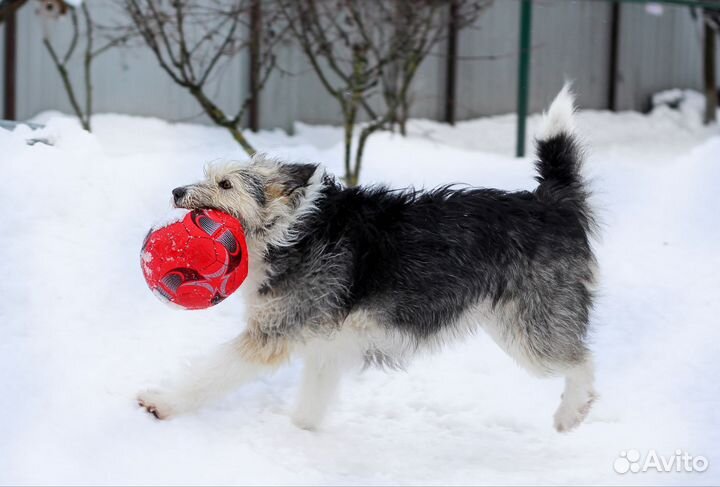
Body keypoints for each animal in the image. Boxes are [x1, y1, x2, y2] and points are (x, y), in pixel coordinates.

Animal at [138, 85, 600, 434]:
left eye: (225, 184)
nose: (177, 192)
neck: (292, 232)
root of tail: (550, 202)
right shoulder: (326, 345)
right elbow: (311, 403)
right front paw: (301, 437)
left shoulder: (272, 335)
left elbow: (210, 373)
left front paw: (162, 402)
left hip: (534, 329)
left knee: (583, 360)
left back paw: (571, 412)